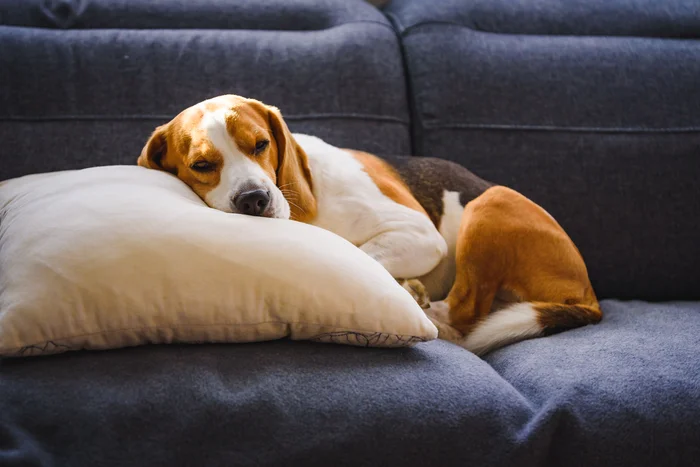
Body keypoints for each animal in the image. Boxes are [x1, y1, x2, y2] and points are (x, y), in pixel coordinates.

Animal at [138, 96, 600, 358]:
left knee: (465, 314)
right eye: (202, 165)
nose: (254, 199)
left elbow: (361, 254)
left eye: (261, 145)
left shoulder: (419, 234)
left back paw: (422, 302)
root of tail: (587, 294)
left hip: (489, 201)